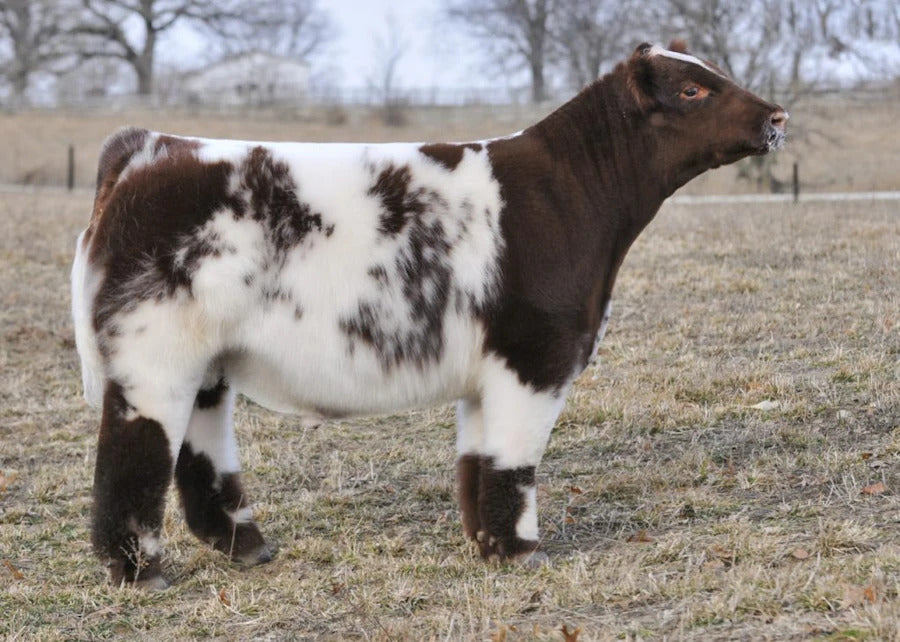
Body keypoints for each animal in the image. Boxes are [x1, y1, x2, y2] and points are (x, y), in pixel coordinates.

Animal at [71, 41, 787, 588]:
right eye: (692, 90)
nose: (777, 115)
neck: (572, 197)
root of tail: (149, 148)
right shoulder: (534, 353)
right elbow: (513, 462)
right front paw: (521, 551)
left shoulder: (489, 367)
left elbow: (479, 460)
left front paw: (486, 545)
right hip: (154, 354)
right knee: (131, 457)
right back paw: (141, 571)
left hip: (206, 361)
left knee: (200, 450)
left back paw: (246, 544)